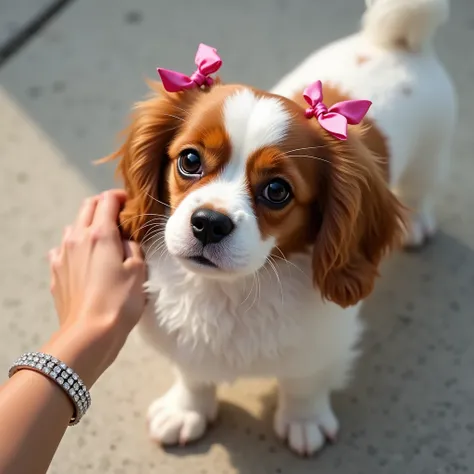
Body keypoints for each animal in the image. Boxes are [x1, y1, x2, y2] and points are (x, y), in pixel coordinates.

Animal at [107, 0, 456, 456]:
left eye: (276, 190)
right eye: (189, 160)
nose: (209, 223)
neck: (230, 292)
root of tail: (394, 41)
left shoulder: (322, 343)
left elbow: (303, 383)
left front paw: (303, 421)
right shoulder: (184, 340)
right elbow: (193, 375)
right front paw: (186, 410)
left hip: (431, 154)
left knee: (419, 188)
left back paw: (414, 223)